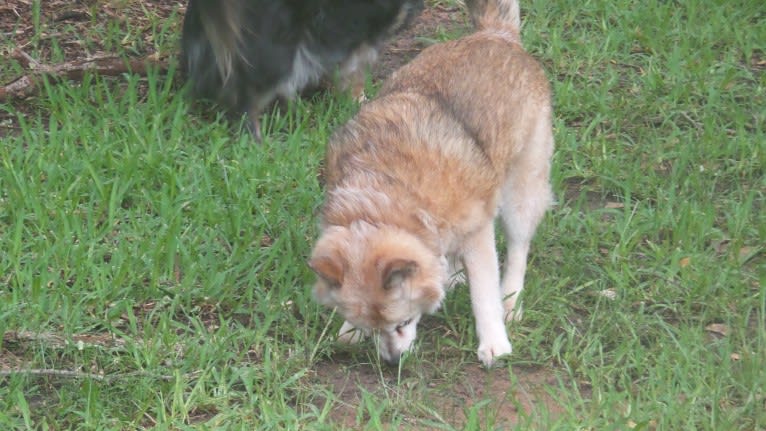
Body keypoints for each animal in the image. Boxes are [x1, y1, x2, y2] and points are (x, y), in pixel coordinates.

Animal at [308, 0, 556, 368]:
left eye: (403, 323)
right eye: (373, 328)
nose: (392, 362)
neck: (386, 195)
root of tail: (495, 34)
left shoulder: (477, 231)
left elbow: (484, 293)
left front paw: (494, 342)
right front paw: (348, 331)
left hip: (521, 193)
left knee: (518, 249)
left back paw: (510, 300)